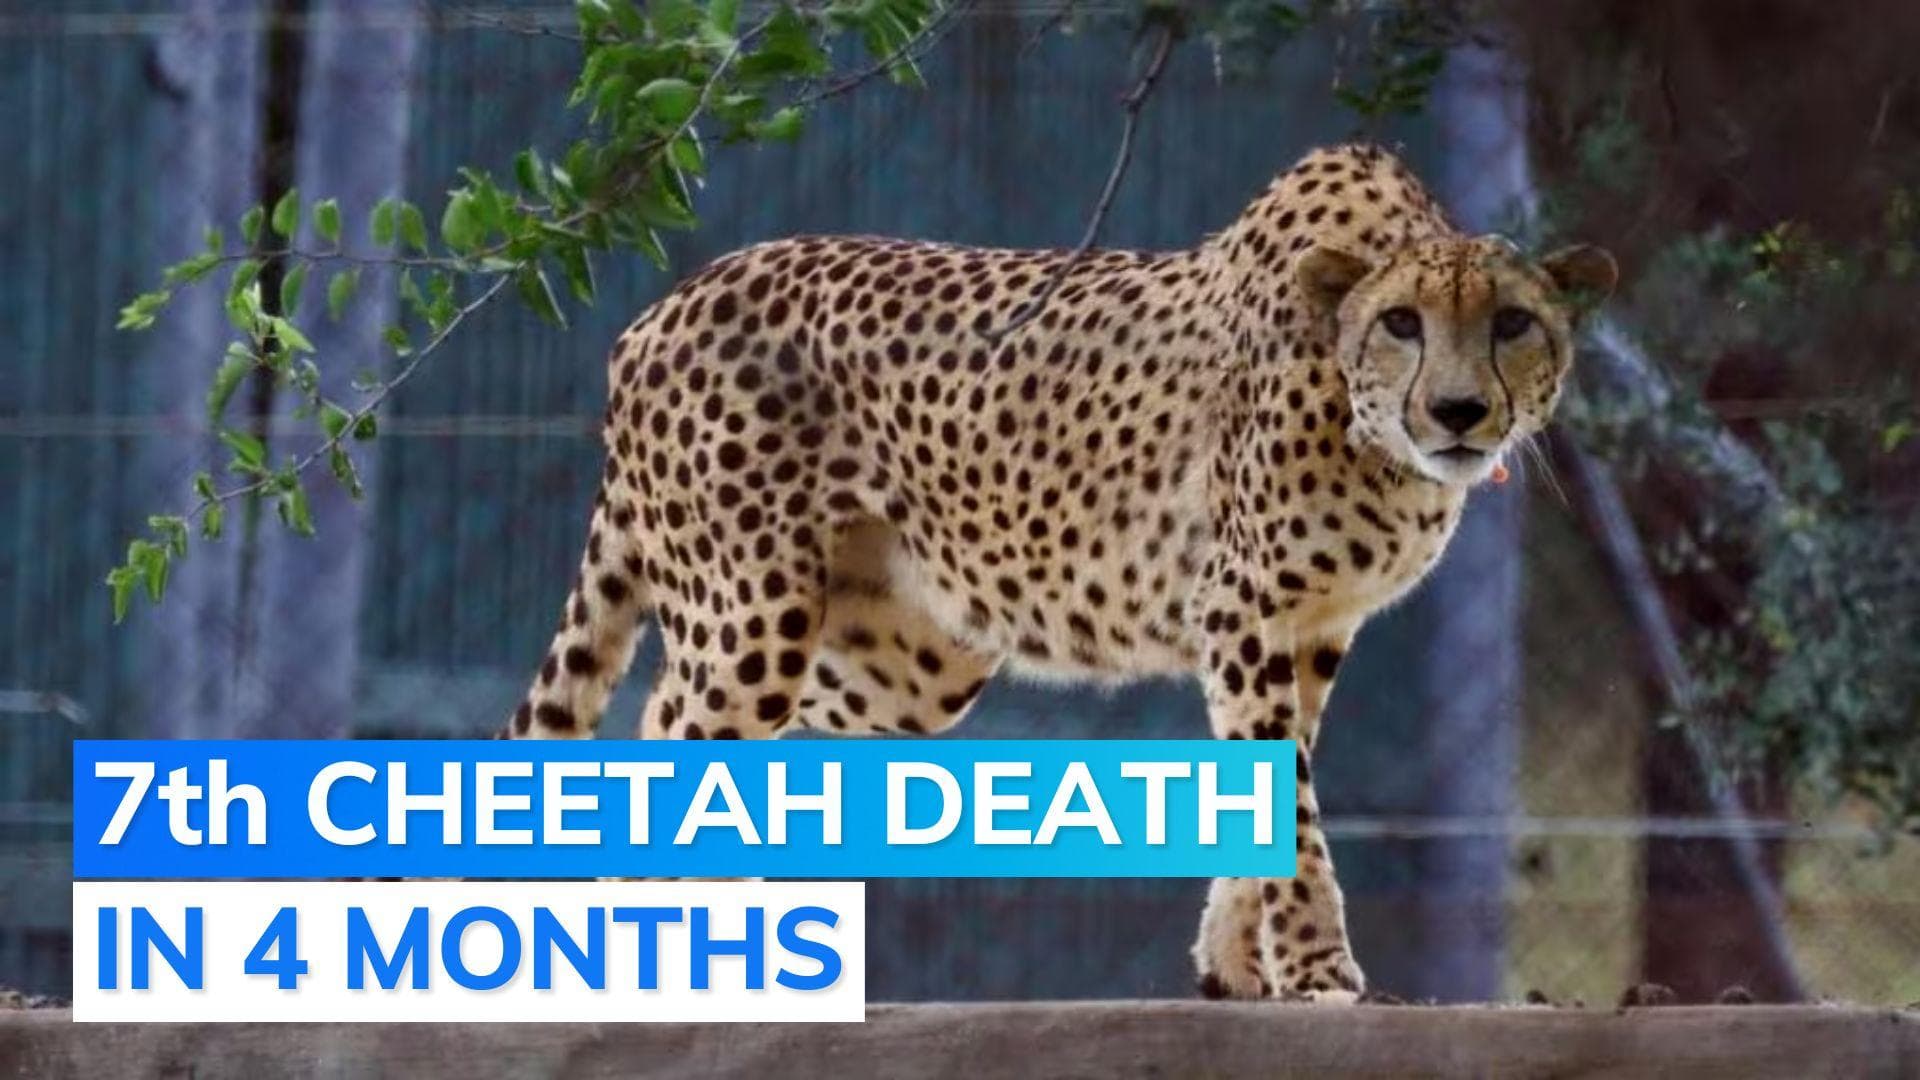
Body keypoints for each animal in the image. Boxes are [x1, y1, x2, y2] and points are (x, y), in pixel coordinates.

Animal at [502, 141, 1616, 1002]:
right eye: (1401, 324)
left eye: (1514, 323)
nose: (1460, 412)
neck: (1366, 417)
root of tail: (666, 305)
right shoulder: (1245, 606)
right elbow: (1284, 797)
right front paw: (1318, 969)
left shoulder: (1311, 628)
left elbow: (1268, 776)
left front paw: (1231, 966)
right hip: (757, 619)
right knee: (677, 733)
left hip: (903, 663)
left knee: (676, 723)